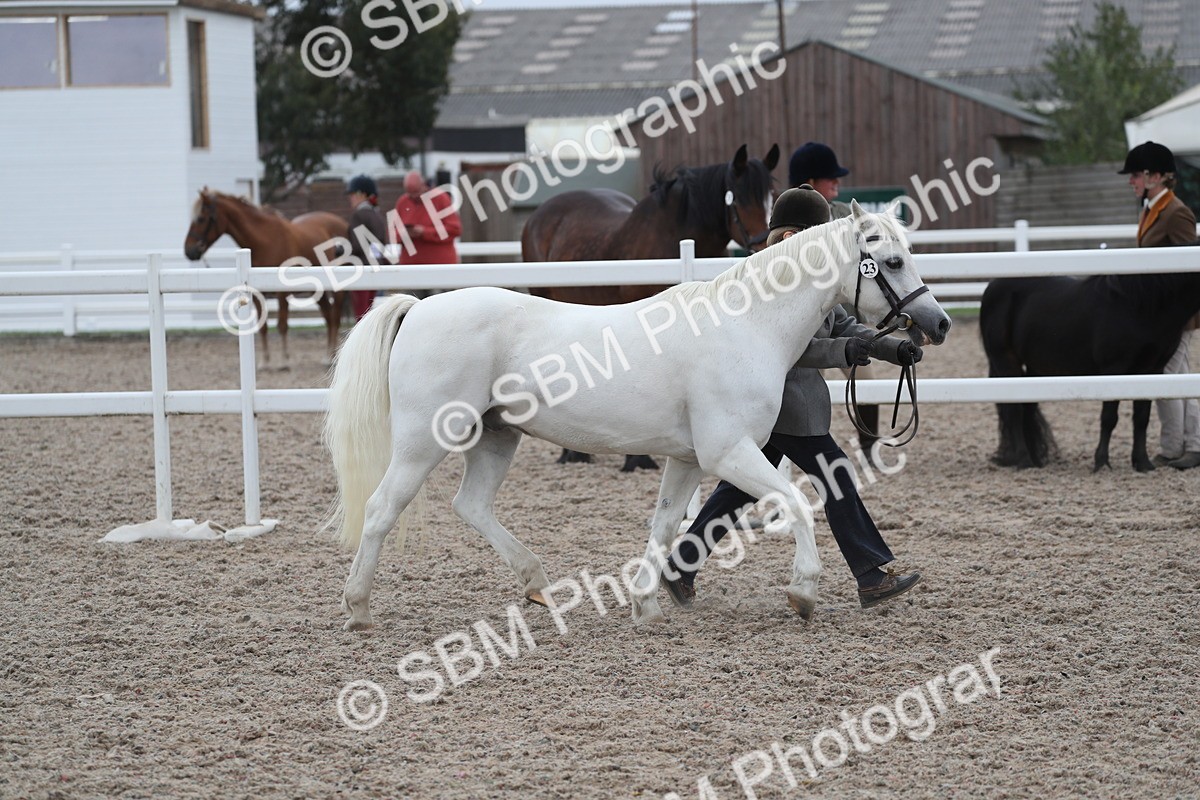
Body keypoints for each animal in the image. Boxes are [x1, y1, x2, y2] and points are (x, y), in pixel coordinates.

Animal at [184, 189, 349, 367]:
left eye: (201, 218)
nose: (189, 250)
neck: (266, 240)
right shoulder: (257, 294)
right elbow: (262, 327)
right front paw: (265, 361)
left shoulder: (282, 294)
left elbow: (282, 325)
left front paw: (284, 360)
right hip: (318, 291)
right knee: (328, 317)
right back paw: (327, 355)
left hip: (337, 289)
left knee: (335, 318)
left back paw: (331, 356)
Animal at [324, 202, 951, 631]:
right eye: (892, 260)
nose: (936, 324)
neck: (744, 325)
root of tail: (419, 308)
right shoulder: (729, 452)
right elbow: (796, 502)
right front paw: (804, 592)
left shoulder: (689, 459)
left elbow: (667, 526)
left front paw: (647, 603)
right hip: (423, 442)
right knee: (381, 509)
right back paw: (357, 608)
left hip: (496, 436)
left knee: (471, 505)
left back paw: (538, 585)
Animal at [521, 144, 781, 470]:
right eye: (741, 197)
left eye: (772, 193)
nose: (766, 246)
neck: (673, 238)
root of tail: (541, 213)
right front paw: (637, 458)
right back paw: (573, 453)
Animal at [980, 256, 1200, 471]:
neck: (1140, 307)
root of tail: (992, 286)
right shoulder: (1114, 369)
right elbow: (1109, 418)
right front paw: (1101, 462)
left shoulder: (1151, 371)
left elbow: (1141, 418)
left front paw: (1142, 462)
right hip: (1006, 360)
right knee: (1014, 410)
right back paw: (1024, 459)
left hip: (1036, 366)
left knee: (1028, 407)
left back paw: (1035, 459)